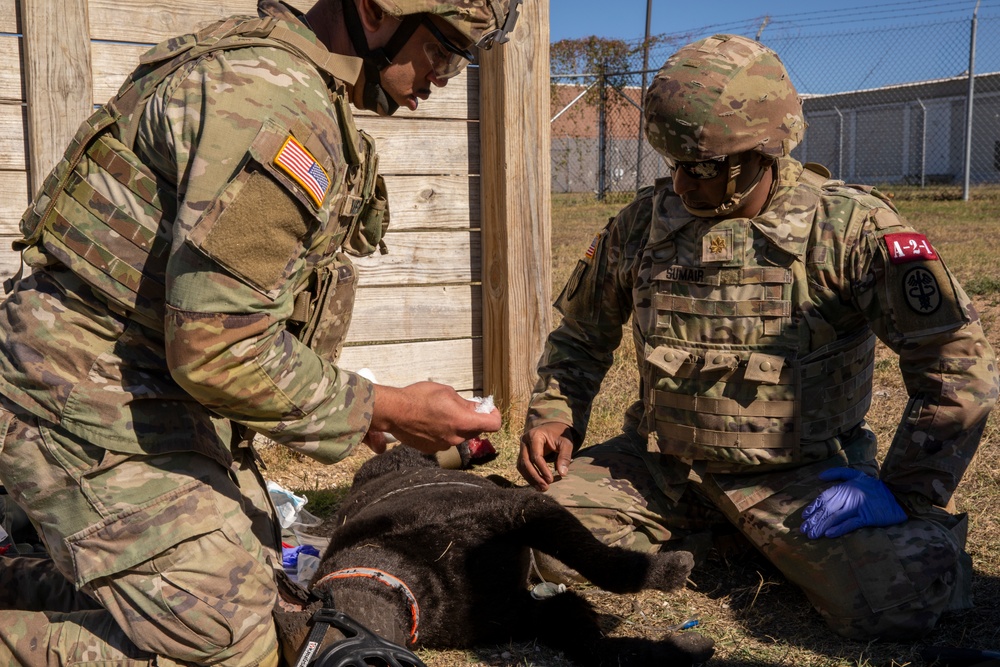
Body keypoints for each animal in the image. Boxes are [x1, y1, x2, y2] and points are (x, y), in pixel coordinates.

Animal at [276, 446, 712, 664]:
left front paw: (664, 571)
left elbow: (606, 565)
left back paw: (474, 452)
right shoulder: (528, 614)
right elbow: (595, 644)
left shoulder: (525, 512)